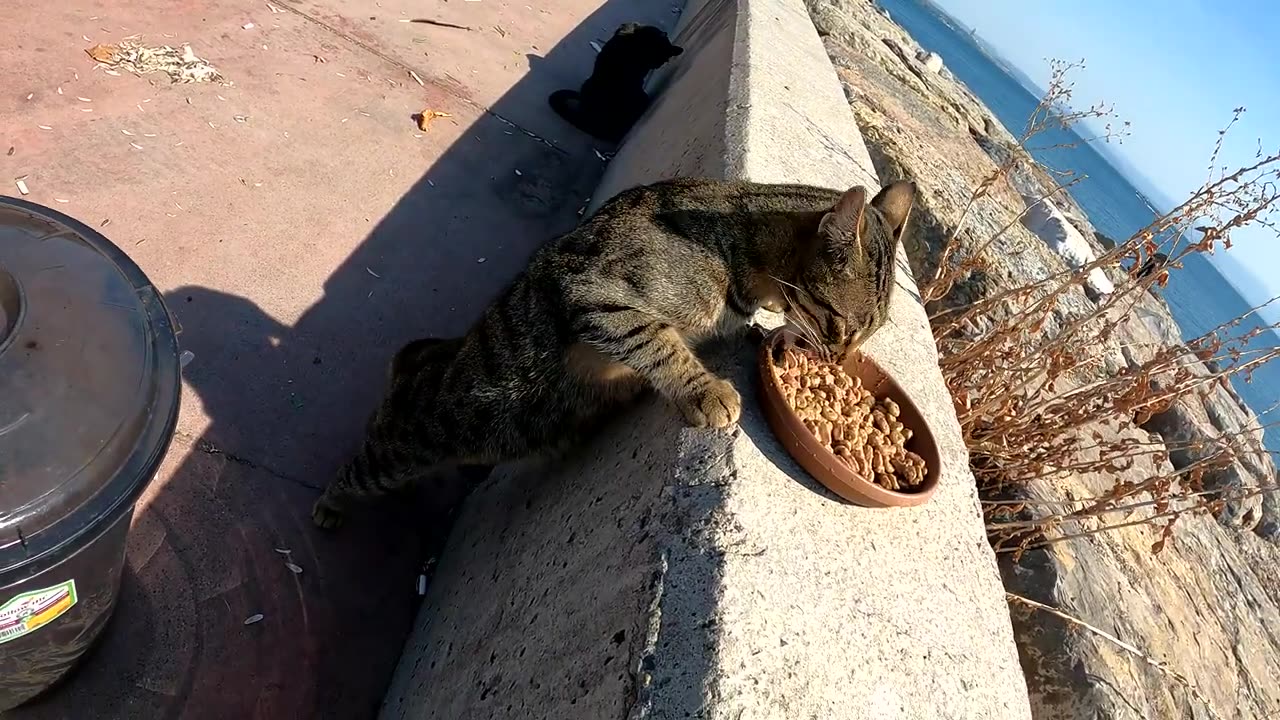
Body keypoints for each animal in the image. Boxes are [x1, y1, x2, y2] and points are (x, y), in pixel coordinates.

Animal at [313, 176, 916, 525]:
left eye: (868, 335)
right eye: (843, 327)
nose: (836, 360)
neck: (736, 251)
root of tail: (419, 364)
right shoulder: (593, 295)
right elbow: (657, 342)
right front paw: (706, 390)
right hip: (399, 449)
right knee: (353, 471)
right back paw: (328, 508)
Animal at [550, 22, 691, 142]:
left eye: (665, 60)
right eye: (661, 58)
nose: (658, 65)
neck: (638, 35)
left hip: (586, 85)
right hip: (642, 98)